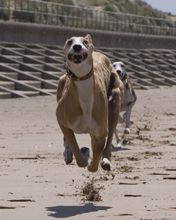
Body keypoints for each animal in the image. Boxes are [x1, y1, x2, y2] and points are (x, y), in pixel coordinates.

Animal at [55, 34, 123, 172]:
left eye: (85, 42)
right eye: (70, 42)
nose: (77, 46)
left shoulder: (101, 131)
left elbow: (96, 158)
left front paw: (92, 161)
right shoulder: (61, 120)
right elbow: (73, 143)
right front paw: (81, 156)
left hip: (114, 101)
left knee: (109, 138)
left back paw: (106, 160)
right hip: (61, 83)